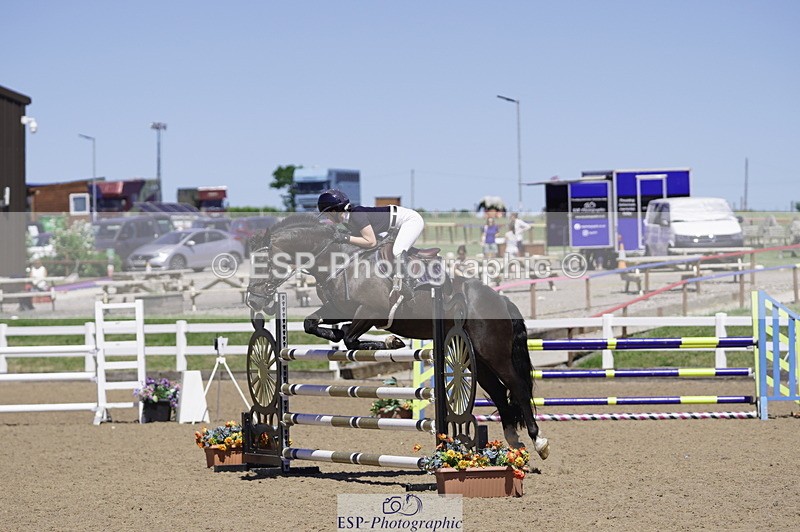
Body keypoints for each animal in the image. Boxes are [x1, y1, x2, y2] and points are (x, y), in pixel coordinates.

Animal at [244, 214, 549, 459]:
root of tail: (501, 300)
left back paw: (538, 441)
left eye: (263, 262)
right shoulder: (338, 309)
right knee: (498, 391)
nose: (253, 301)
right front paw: (347, 334)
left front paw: (391, 341)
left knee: (517, 387)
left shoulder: (371, 312)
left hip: (493, 351)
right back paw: (513, 440)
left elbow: (350, 338)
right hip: (476, 357)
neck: (339, 262)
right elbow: (314, 324)